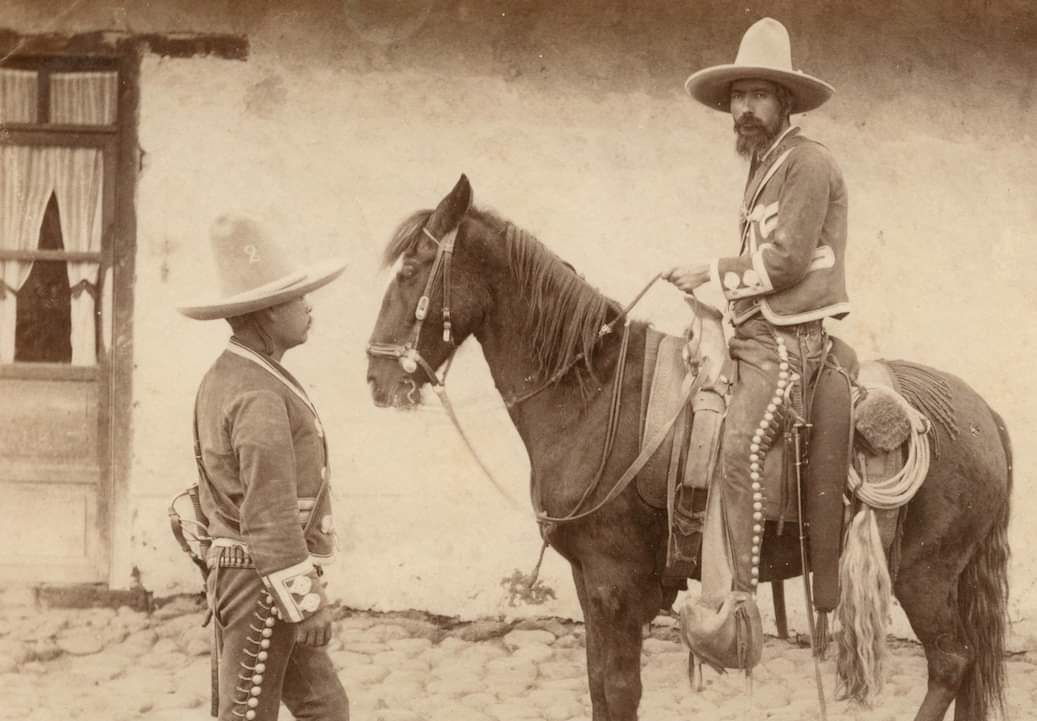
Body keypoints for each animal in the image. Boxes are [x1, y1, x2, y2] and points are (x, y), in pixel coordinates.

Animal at [365, 176, 1012, 721]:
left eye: (412, 268)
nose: (377, 378)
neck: (595, 394)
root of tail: (982, 413)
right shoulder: (588, 582)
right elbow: (598, 686)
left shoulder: (613, 582)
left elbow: (619, 689)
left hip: (926, 576)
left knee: (951, 662)